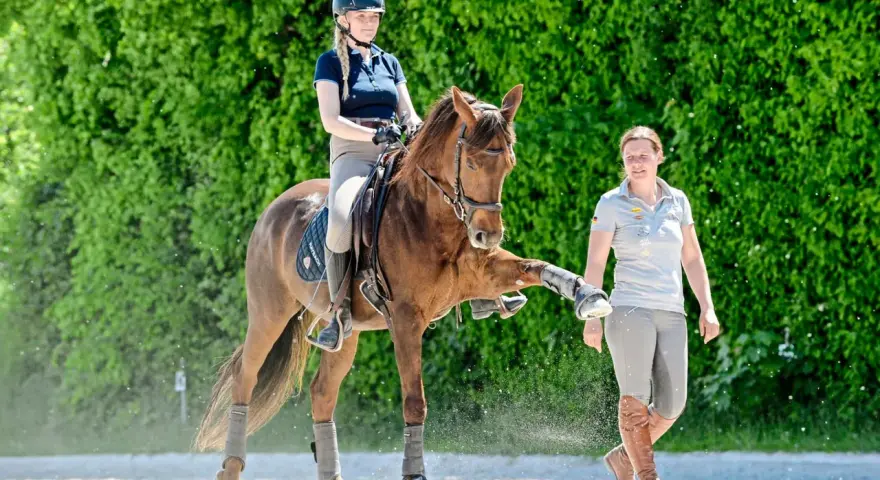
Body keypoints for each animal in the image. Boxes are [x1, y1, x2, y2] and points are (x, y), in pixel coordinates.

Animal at [194, 85, 611, 480]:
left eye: (509, 163)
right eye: (472, 163)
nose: (487, 235)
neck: (431, 218)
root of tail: (273, 208)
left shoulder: (485, 275)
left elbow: (536, 266)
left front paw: (588, 295)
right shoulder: (406, 319)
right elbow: (415, 402)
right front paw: (414, 471)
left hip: (345, 331)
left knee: (322, 393)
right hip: (270, 314)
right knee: (245, 379)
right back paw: (229, 467)